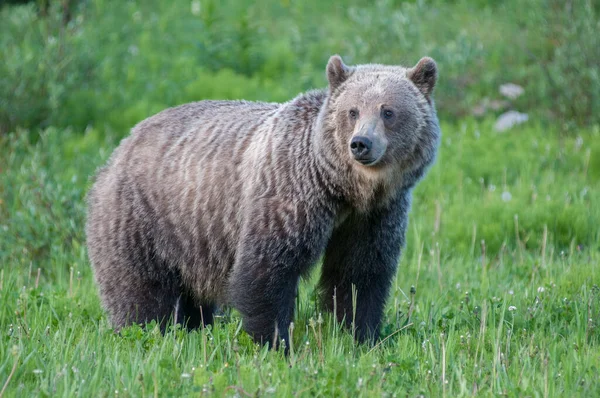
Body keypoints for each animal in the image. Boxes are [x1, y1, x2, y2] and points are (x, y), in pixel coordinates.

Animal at [85, 56, 440, 348]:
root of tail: (119, 148)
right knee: (140, 291)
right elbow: (267, 270)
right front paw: (274, 342)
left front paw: (360, 337)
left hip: (191, 239)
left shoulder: (373, 217)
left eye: (388, 111)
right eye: (352, 111)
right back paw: (144, 333)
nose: (361, 143)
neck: (343, 189)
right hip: (143, 217)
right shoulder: (290, 194)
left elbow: (358, 275)